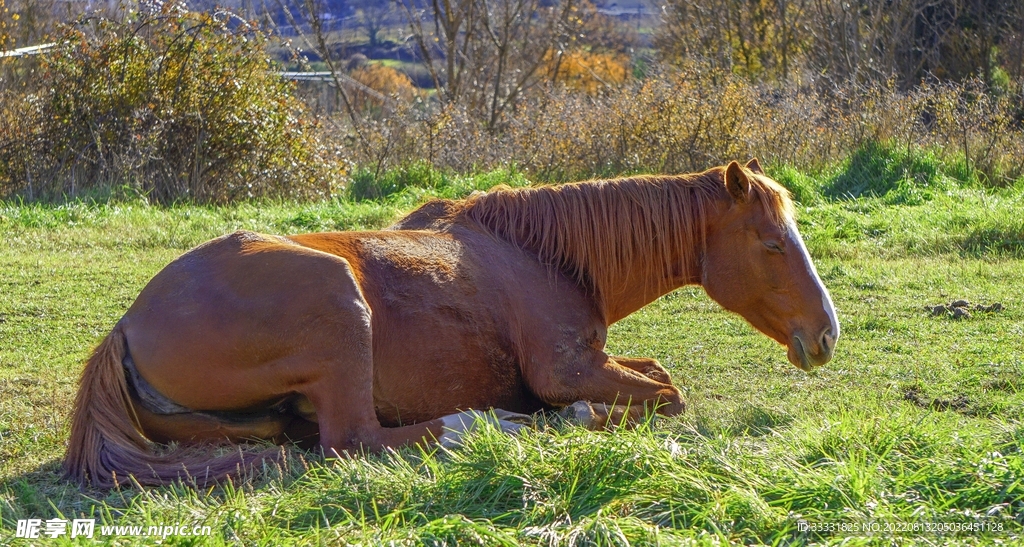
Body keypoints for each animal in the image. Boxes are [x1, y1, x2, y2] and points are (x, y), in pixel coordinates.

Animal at [64, 159, 839, 488]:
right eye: (773, 244)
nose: (826, 334)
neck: (544, 254)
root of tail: (126, 327)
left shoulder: (599, 358)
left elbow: (658, 375)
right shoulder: (568, 371)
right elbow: (667, 393)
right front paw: (571, 418)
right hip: (338, 305)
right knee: (356, 441)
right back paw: (491, 424)